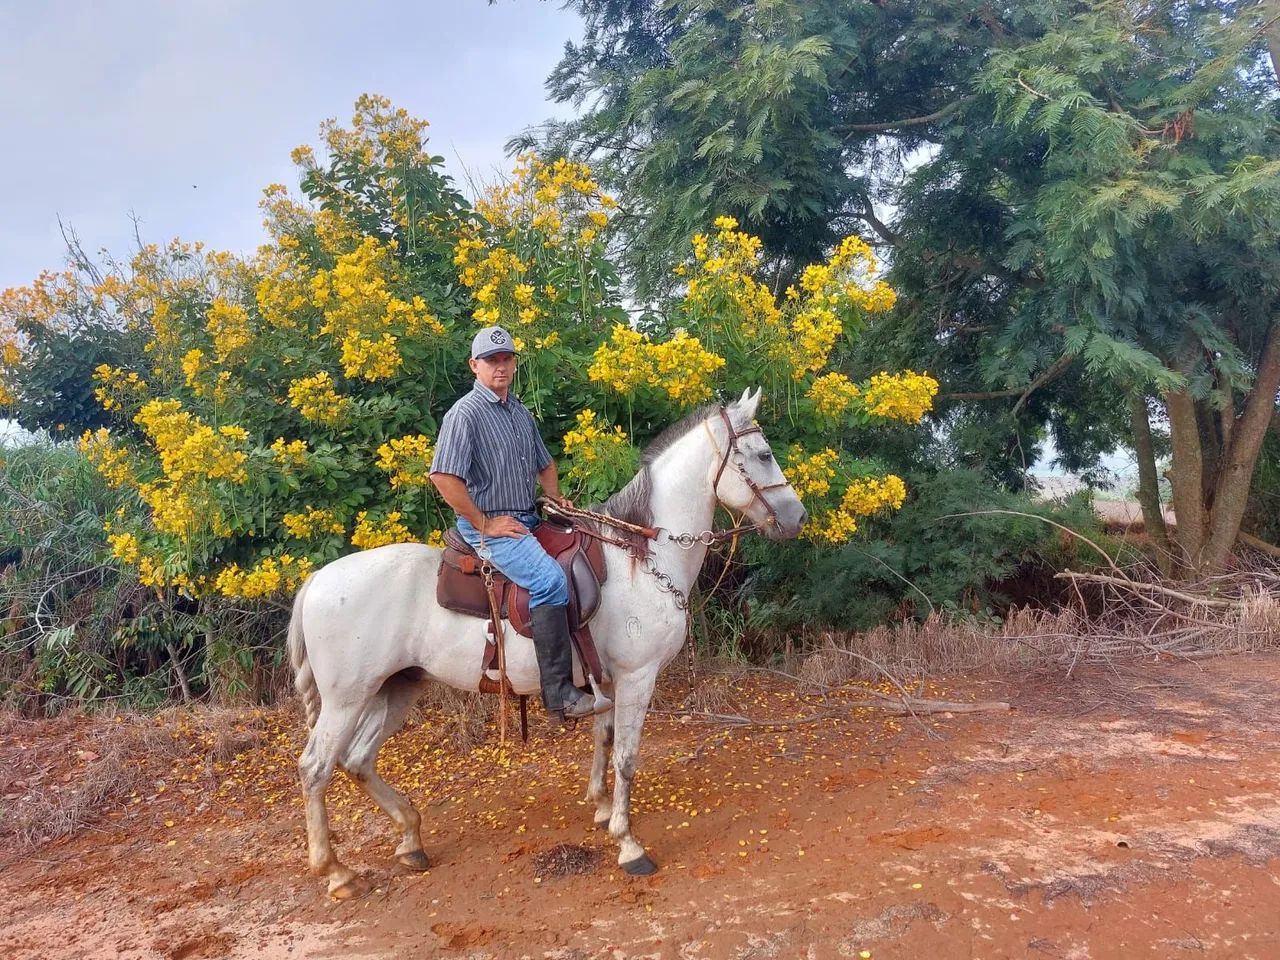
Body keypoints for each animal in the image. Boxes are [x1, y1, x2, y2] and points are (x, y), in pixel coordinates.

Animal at [288, 388, 807, 897]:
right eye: (763, 455)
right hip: (347, 699)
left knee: (357, 759)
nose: (798, 516)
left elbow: (604, 738)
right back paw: (336, 872)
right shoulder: (637, 677)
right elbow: (627, 757)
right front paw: (628, 843)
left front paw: (600, 807)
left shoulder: (606, 680)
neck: (643, 558)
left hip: (397, 687)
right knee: (316, 768)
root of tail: (316, 581)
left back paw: (411, 838)